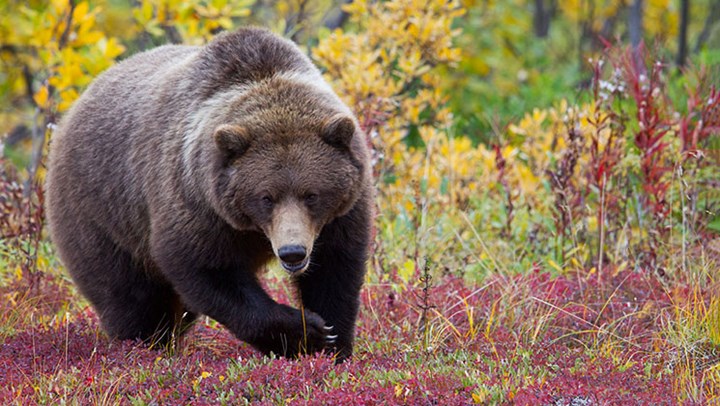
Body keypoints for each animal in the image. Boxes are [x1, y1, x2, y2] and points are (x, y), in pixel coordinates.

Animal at [46, 27, 372, 362]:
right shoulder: (197, 200)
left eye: (311, 195)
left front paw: (334, 343)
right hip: (102, 214)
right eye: (266, 197)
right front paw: (305, 332)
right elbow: (205, 270)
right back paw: (144, 345)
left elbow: (335, 270)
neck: (253, 230)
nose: (292, 252)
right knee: (131, 297)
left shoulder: (341, 213)